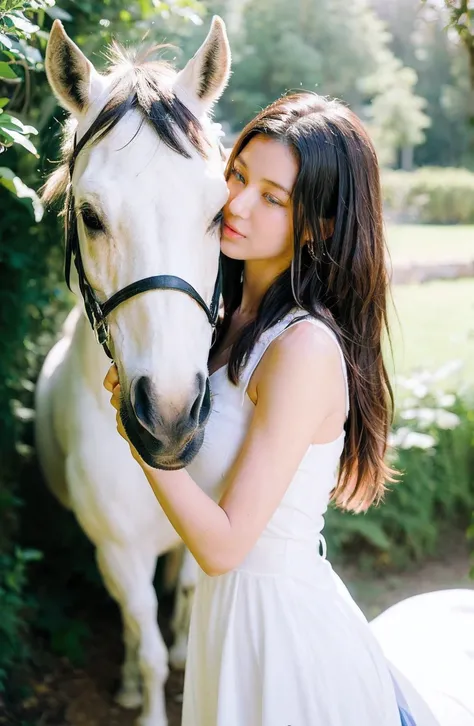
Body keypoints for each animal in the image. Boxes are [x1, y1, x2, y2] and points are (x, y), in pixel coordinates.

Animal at [34, 18, 230, 726]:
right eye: (90, 216)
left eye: (219, 211)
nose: (169, 420)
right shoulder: (118, 553)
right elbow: (142, 642)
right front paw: (142, 699)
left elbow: (189, 604)